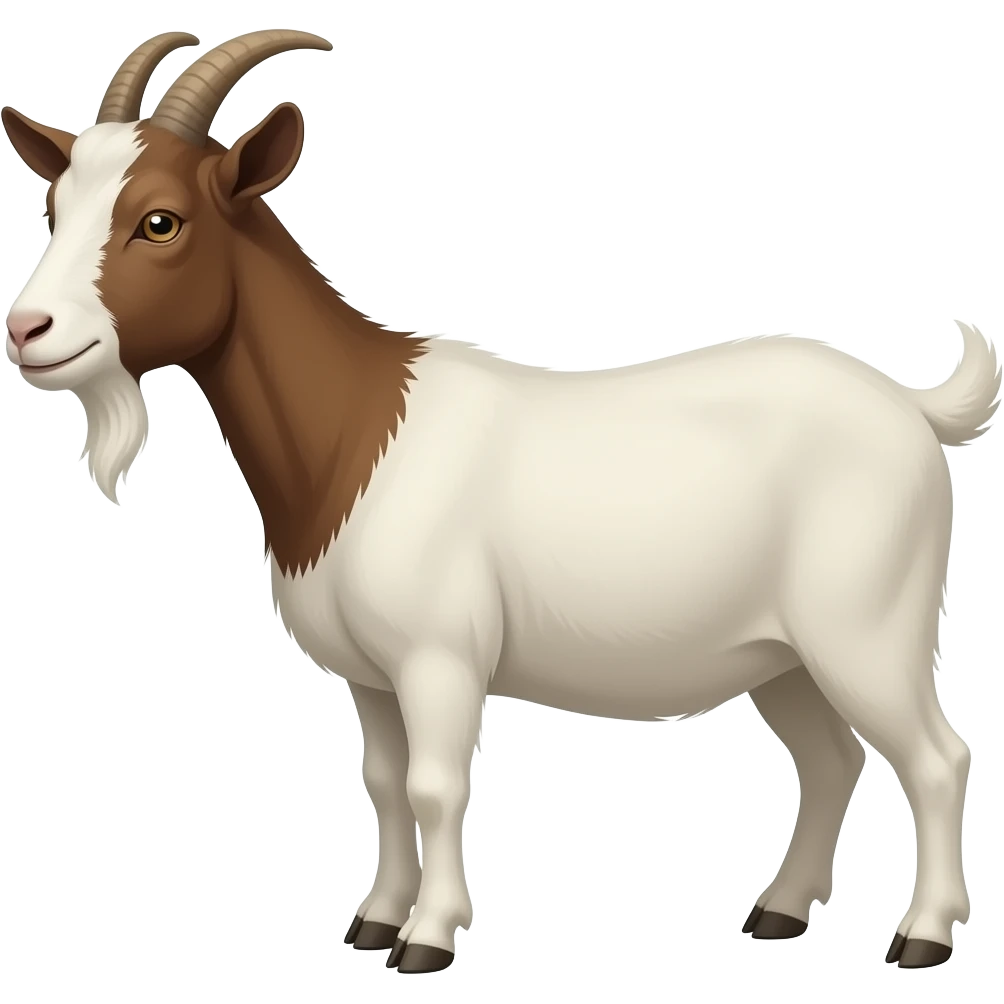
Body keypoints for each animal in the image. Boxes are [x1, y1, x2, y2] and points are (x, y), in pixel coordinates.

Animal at [2, 30, 996, 975]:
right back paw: (780, 913)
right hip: (782, 654)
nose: (26, 329)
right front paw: (374, 921)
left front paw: (427, 940)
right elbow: (385, 783)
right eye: (54, 210)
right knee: (832, 761)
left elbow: (437, 785)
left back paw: (924, 937)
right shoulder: (372, 674)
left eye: (159, 220)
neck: (355, 434)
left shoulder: (439, 655)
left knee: (937, 758)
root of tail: (912, 410)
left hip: (867, 628)